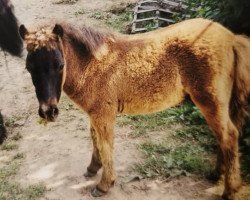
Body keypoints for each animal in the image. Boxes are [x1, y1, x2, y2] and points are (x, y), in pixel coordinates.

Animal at [19, 18, 250, 199]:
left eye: (60, 65)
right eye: (29, 67)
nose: (48, 112)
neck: (93, 65)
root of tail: (232, 38)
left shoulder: (104, 114)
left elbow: (105, 144)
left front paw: (104, 185)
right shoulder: (95, 113)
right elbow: (95, 139)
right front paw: (93, 168)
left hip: (210, 101)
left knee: (229, 135)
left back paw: (230, 189)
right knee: (225, 136)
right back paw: (216, 174)